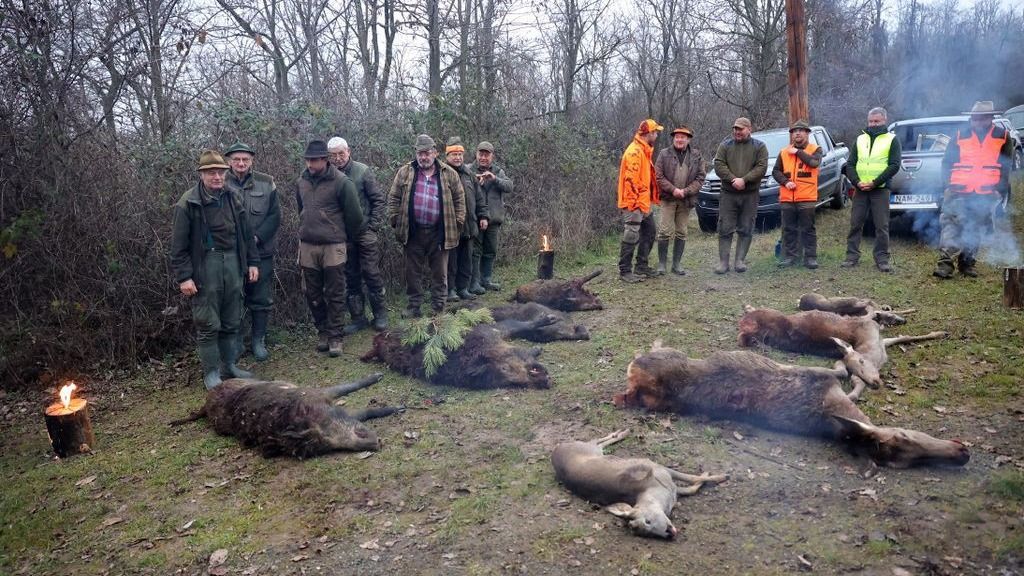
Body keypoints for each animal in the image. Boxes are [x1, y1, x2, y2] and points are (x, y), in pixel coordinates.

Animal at [552, 426, 729, 537]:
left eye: (647, 521)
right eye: (647, 531)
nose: (669, 533)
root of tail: (555, 450)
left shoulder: (660, 469)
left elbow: (693, 478)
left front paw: (721, 476)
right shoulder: (667, 481)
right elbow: (692, 486)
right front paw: (717, 476)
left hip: (589, 448)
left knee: (597, 440)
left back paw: (623, 432)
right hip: (592, 451)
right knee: (598, 442)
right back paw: (622, 433)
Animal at [610, 340, 970, 467]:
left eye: (906, 461)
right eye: (903, 436)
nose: (962, 452)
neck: (829, 414)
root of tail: (638, 375)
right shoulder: (824, 377)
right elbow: (845, 367)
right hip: (670, 353)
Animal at [741, 305, 946, 399]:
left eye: (862, 362)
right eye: (854, 368)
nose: (875, 382)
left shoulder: (880, 338)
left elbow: (906, 336)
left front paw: (940, 332)